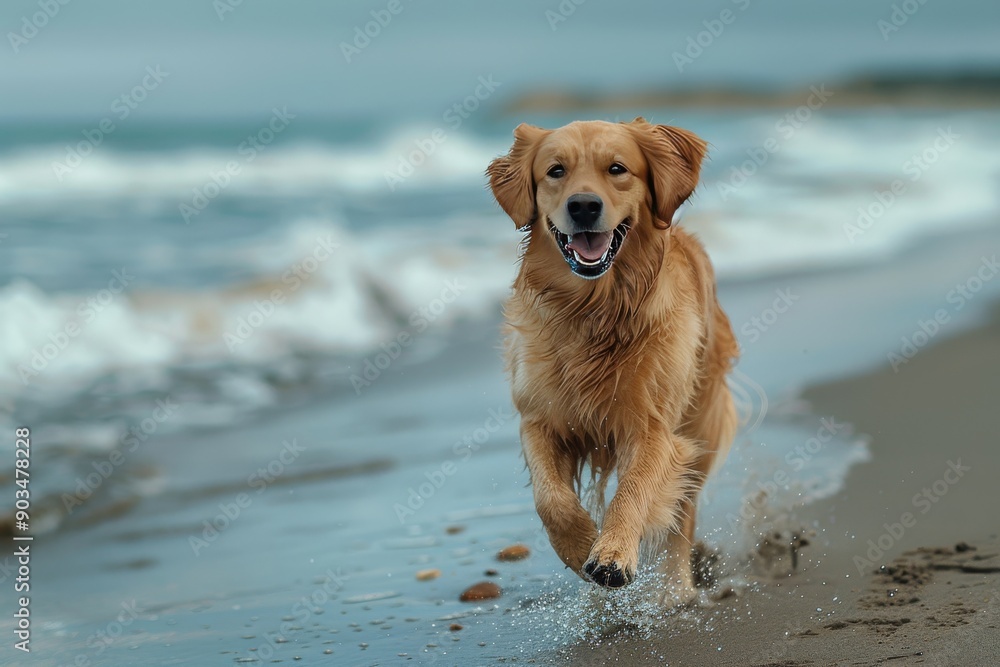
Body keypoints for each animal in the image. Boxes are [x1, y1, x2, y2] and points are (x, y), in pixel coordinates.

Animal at [488, 118, 740, 604]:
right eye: (556, 171)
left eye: (617, 168)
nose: (584, 205)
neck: (594, 312)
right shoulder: (538, 418)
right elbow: (551, 499)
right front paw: (581, 544)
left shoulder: (654, 427)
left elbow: (634, 490)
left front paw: (612, 553)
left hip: (698, 426)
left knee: (682, 515)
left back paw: (677, 591)